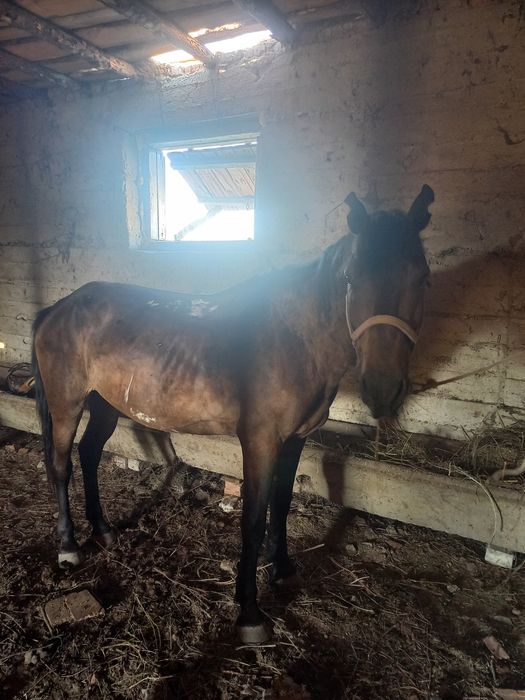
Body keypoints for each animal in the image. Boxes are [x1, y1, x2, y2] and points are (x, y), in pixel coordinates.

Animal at [32, 186, 434, 644]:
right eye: (351, 278)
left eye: (422, 277)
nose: (382, 389)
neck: (294, 339)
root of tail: (57, 310)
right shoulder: (260, 441)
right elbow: (253, 519)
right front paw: (249, 612)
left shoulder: (296, 439)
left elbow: (282, 504)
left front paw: (283, 570)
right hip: (67, 405)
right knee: (61, 466)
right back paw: (68, 548)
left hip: (106, 405)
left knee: (90, 454)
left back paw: (103, 530)